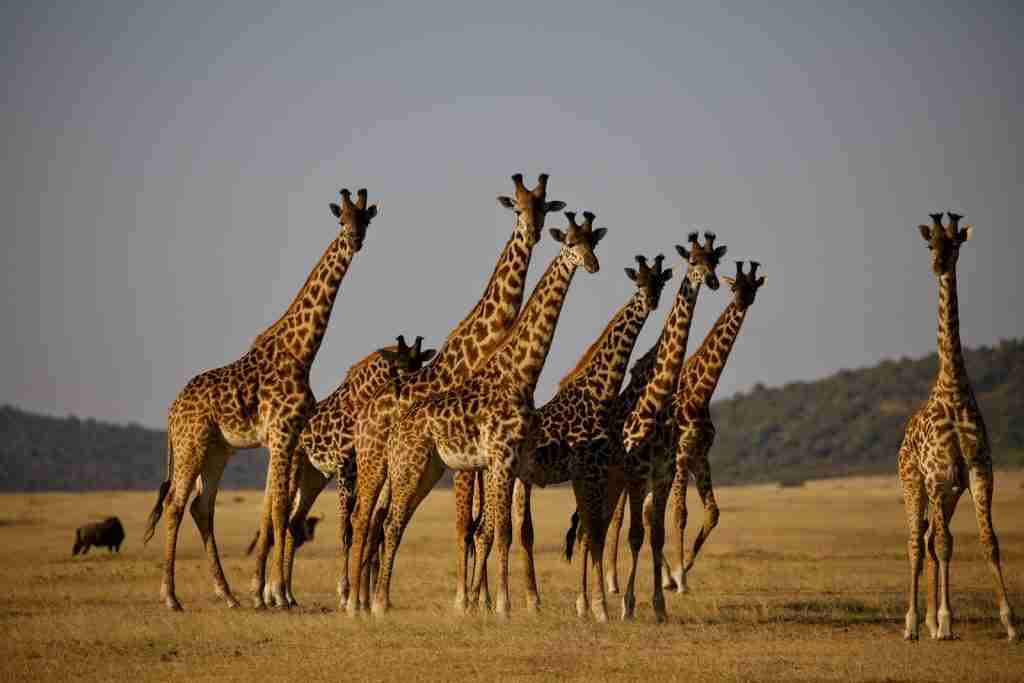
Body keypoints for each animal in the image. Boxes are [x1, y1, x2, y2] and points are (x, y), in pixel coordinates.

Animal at [142, 187, 378, 611]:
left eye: (364, 219)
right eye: (341, 219)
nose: (355, 240)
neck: (301, 351)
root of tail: (171, 411)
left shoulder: (281, 438)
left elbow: (272, 508)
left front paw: (266, 593)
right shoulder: (282, 435)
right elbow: (279, 508)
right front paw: (277, 594)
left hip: (218, 450)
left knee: (202, 505)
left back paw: (228, 594)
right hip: (191, 443)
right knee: (175, 503)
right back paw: (171, 597)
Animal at [356, 211, 606, 617]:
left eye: (593, 242)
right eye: (571, 243)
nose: (593, 264)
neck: (521, 374)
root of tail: (395, 432)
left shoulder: (514, 462)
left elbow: (500, 530)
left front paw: (495, 603)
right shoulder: (500, 457)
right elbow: (500, 530)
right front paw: (502, 606)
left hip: (430, 469)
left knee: (394, 523)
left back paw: (379, 601)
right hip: (409, 465)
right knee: (390, 524)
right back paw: (377, 604)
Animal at [453, 253, 673, 614]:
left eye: (659, 282)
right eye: (640, 282)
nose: (653, 301)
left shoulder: (593, 474)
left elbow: (590, 531)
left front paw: (591, 605)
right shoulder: (592, 472)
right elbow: (592, 532)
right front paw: (596, 606)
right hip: (503, 478)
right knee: (485, 531)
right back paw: (478, 600)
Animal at [603, 260, 765, 596]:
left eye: (752, 288)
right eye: (735, 286)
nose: (741, 301)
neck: (701, 392)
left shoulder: (699, 455)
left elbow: (711, 512)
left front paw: (682, 570)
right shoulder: (680, 456)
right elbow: (680, 515)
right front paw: (681, 578)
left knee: (646, 512)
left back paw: (661, 577)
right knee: (618, 515)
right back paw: (613, 581)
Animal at [899, 212, 1018, 641]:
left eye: (955, 244)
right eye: (929, 244)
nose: (938, 265)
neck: (953, 390)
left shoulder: (979, 472)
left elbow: (989, 541)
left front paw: (1010, 623)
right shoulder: (936, 477)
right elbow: (945, 545)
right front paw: (946, 621)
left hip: (948, 494)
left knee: (931, 538)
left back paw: (931, 623)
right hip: (914, 483)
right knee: (918, 542)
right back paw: (913, 624)